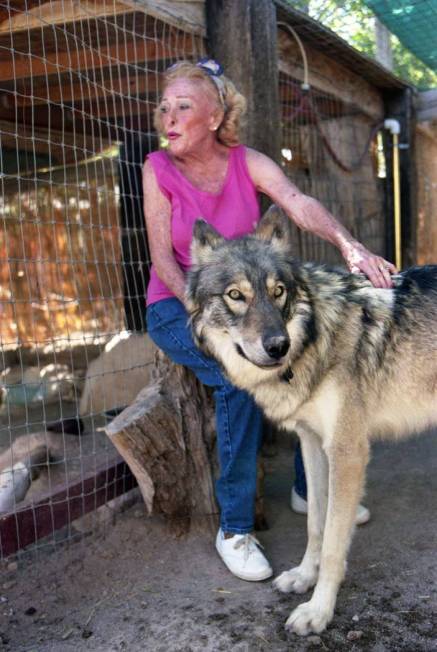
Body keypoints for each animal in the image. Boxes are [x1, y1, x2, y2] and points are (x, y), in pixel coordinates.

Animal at [186, 208, 436, 636]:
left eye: (278, 292)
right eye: (235, 295)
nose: (278, 346)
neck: (318, 336)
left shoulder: (348, 451)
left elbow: (335, 541)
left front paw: (318, 611)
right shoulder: (312, 443)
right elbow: (316, 524)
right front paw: (304, 577)